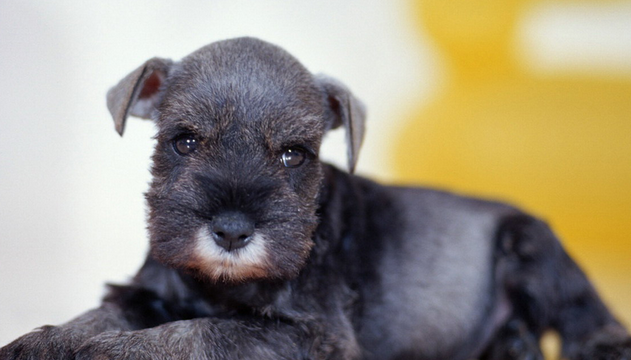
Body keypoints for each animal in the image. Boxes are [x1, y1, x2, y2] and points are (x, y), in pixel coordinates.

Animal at [1, 37, 631, 360]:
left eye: (293, 154)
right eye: (184, 141)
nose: (232, 231)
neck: (216, 284)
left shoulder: (307, 334)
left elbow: (197, 332)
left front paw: (107, 351)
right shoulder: (145, 292)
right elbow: (97, 314)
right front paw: (40, 342)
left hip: (527, 245)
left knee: (590, 322)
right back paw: (513, 344)